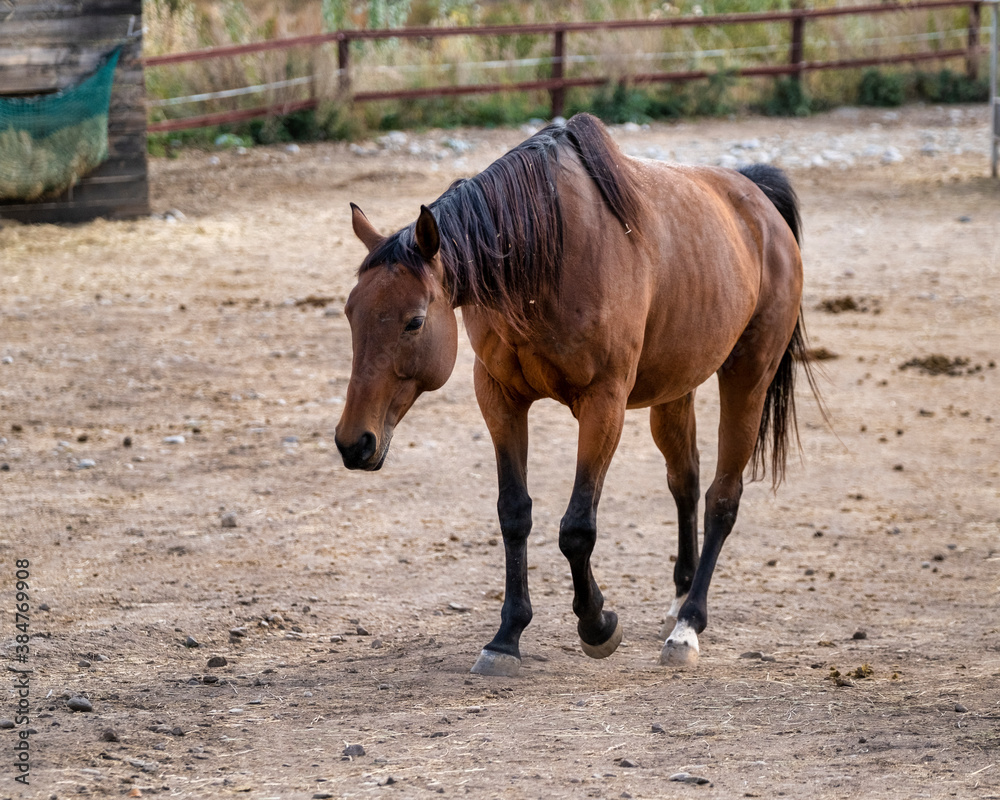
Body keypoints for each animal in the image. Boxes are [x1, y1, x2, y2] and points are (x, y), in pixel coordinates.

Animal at [334, 113, 819, 677]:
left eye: (413, 321)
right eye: (351, 313)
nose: (354, 442)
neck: (545, 261)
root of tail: (758, 200)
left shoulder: (603, 403)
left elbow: (576, 529)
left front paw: (598, 624)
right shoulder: (498, 396)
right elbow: (514, 513)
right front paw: (506, 636)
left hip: (748, 377)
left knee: (722, 498)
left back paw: (687, 625)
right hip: (674, 389)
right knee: (686, 481)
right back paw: (678, 598)